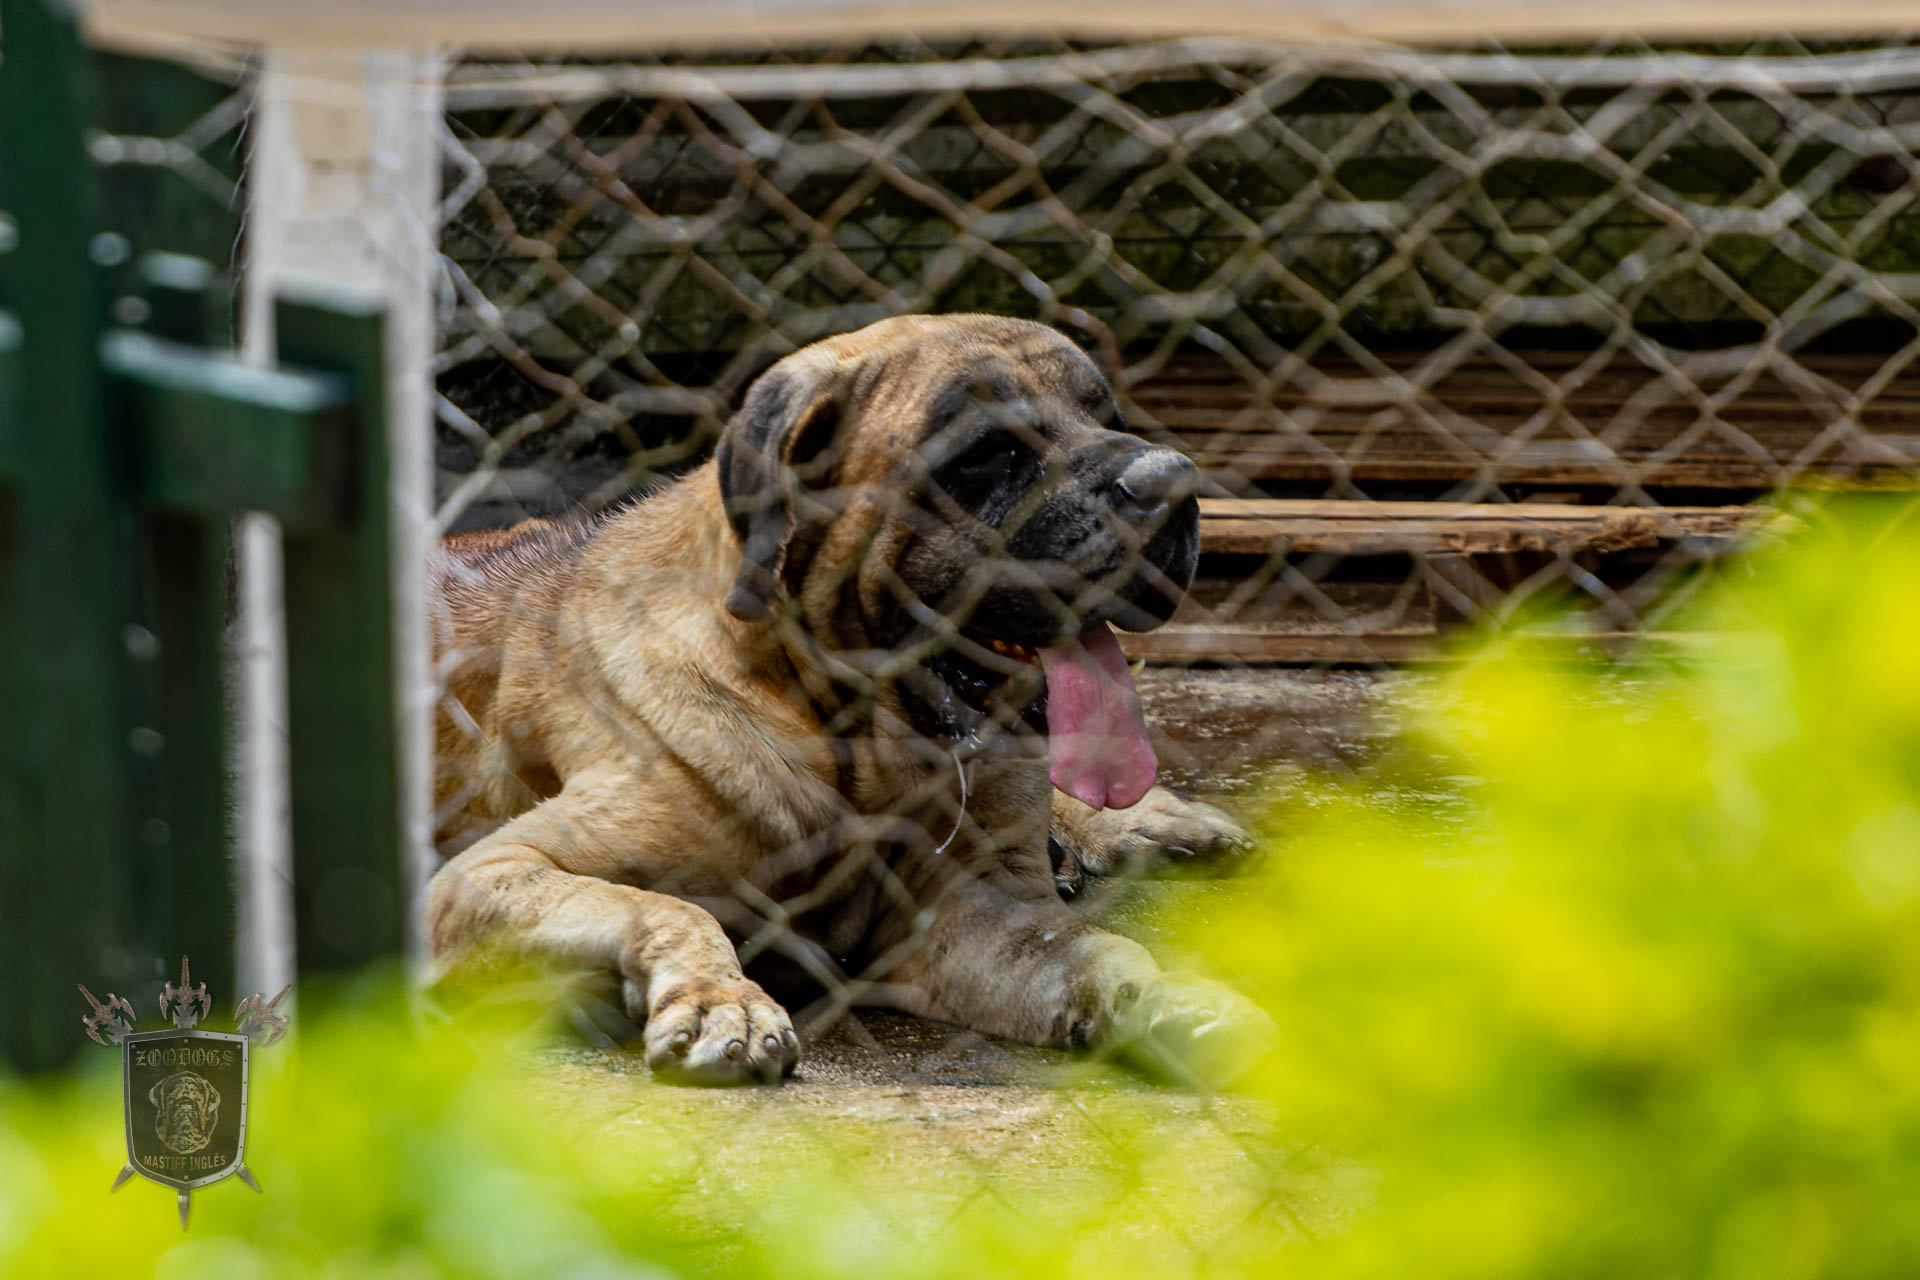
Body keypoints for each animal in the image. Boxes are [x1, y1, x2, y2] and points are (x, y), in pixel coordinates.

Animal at [426, 314, 1267, 1090]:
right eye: (987, 450)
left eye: (1109, 417)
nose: (1172, 480)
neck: (847, 738)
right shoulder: (489, 874)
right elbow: (668, 906)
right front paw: (722, 1002)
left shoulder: (969, 912)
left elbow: (1096, 948)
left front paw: (1178, 999)